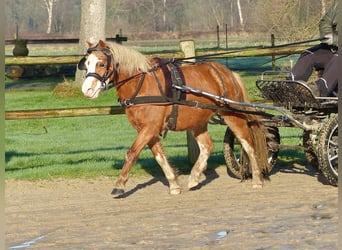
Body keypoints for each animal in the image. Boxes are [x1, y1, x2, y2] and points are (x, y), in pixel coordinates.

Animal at [79, 39, 268, 195]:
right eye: (87, 63)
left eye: (101, 63)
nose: (87, 90)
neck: (141, 84)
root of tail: (227, 73)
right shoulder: (147, 130)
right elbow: (159, 156)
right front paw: (174, 184)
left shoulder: (149, 128)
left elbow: (132, 153)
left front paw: (119, 185)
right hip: (197, 121)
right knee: (207, 146)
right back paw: (194, 177)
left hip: (232, 115)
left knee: (248, 144)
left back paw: (257, 179)